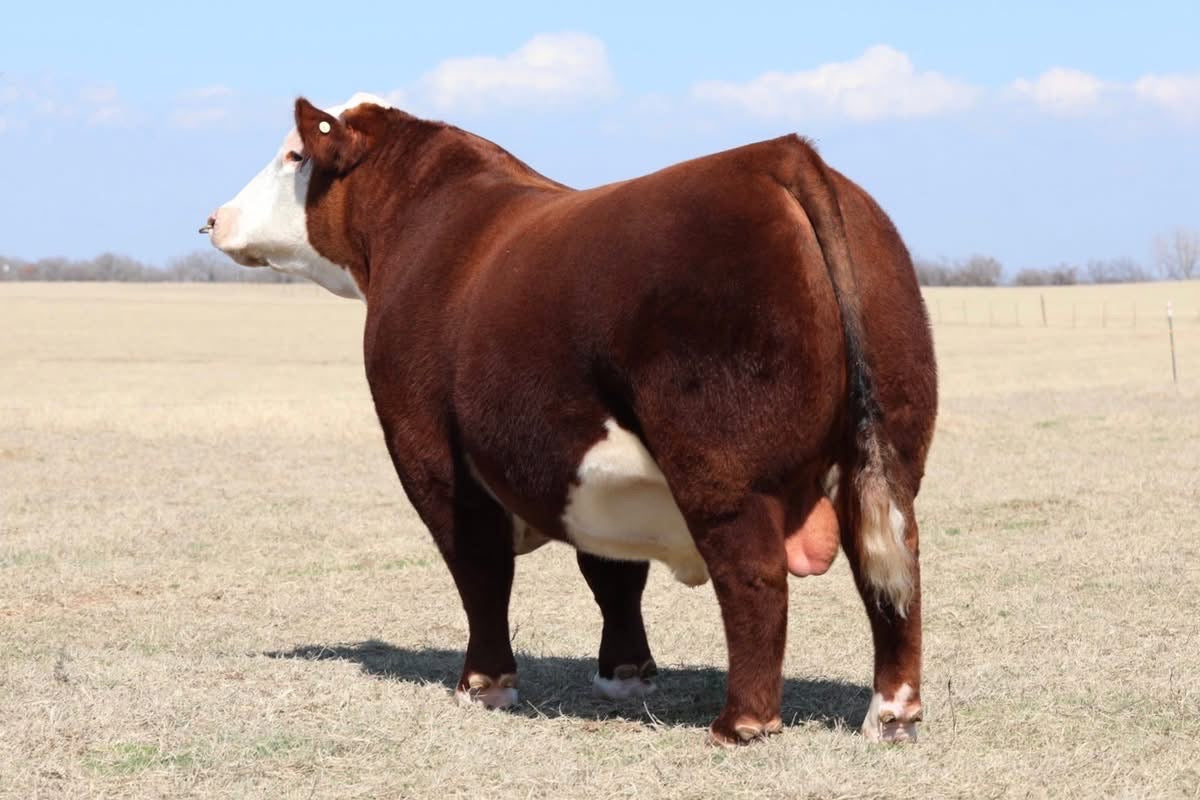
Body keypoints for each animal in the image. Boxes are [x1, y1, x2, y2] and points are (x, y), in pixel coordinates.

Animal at [202, 93, 937, 746]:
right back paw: (891, 715)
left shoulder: (429, 452)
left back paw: (742, 723)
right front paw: (625, 675)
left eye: (293, 153)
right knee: (894, 568)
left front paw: (484, 684)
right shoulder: (587, 467)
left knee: (754, 574)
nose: (215, 218)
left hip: (723, 471)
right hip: (886, 456)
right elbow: (612, 572)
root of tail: (777, 157)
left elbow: (479, 569)